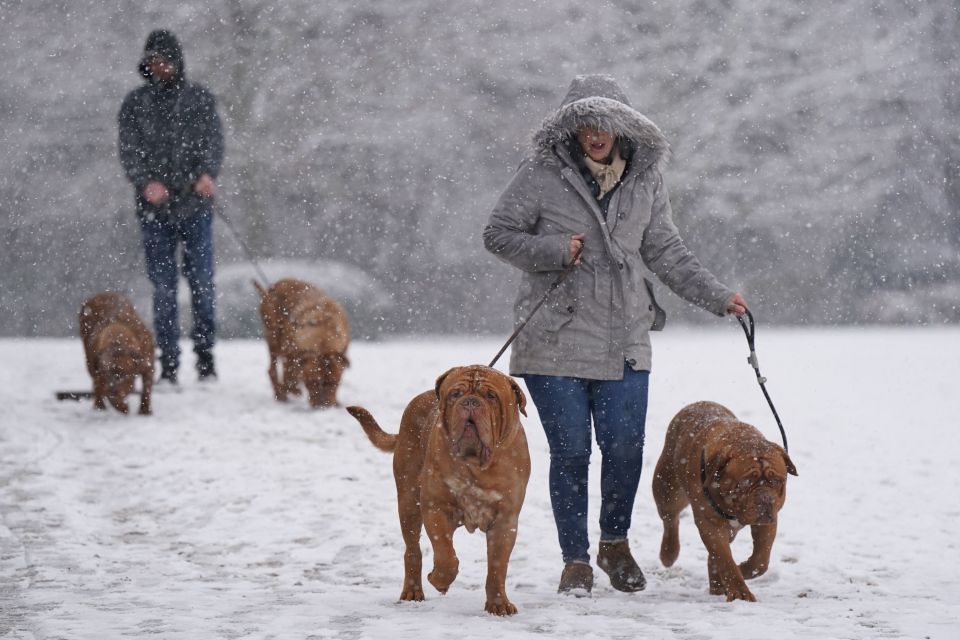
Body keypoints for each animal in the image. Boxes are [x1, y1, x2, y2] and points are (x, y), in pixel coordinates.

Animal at [253, 278, 346, 408]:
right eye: (312, 382)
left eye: (334, 383)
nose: (323, 405)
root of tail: (272, 287)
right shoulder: (291, 351)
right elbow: (289, 374)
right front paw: (291, 389)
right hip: (273, 337)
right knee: (273, 369)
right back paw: (281, 393)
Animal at [348, 364, 532, 616]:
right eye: (455, 394)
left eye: (491, 396)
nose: (470, 402)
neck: (475, 464)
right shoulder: (436, 508)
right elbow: (446, 556)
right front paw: (439, 580)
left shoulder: (505, 520)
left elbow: (497, 566)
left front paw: (498, 604)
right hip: (408, 503)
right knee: (413, 550)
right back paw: (413, 591)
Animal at [648, 402, 800, 604]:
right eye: (745, 482)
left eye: (777, 481)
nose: (765, 499)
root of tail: (699, 403)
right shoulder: (709, 523)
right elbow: (724, 558)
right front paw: (740, 591)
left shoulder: (768, 522)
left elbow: (760, 559)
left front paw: (743, 569)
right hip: (668, 490)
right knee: (670, 519)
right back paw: (669, 553)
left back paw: (716, 584)